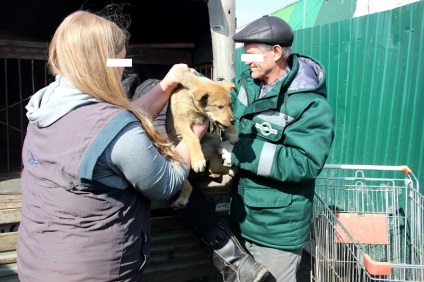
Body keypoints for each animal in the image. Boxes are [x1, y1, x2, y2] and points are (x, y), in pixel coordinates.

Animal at [166, 67, 238, 209]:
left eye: (230, 105)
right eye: (219, 107)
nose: (234, 120)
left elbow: (225, 124)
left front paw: (233, 133)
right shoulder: (181, 121)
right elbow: (192, 137)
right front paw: (198, 160)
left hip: (215, 142)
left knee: (214, 168)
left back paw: (232, 169)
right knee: (186, 184)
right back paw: (182, 199)